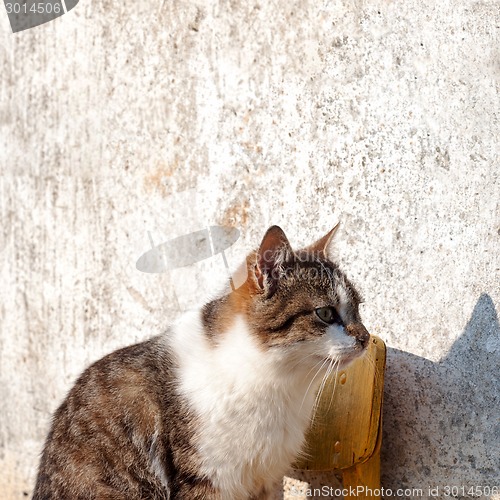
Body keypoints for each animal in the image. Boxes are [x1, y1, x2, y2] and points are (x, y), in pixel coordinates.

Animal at [31, 226, 368, 500]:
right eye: (325, 313)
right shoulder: (206, 478)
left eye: (358, 307)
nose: (365, 337)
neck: (275, 383)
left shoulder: (267, 478)